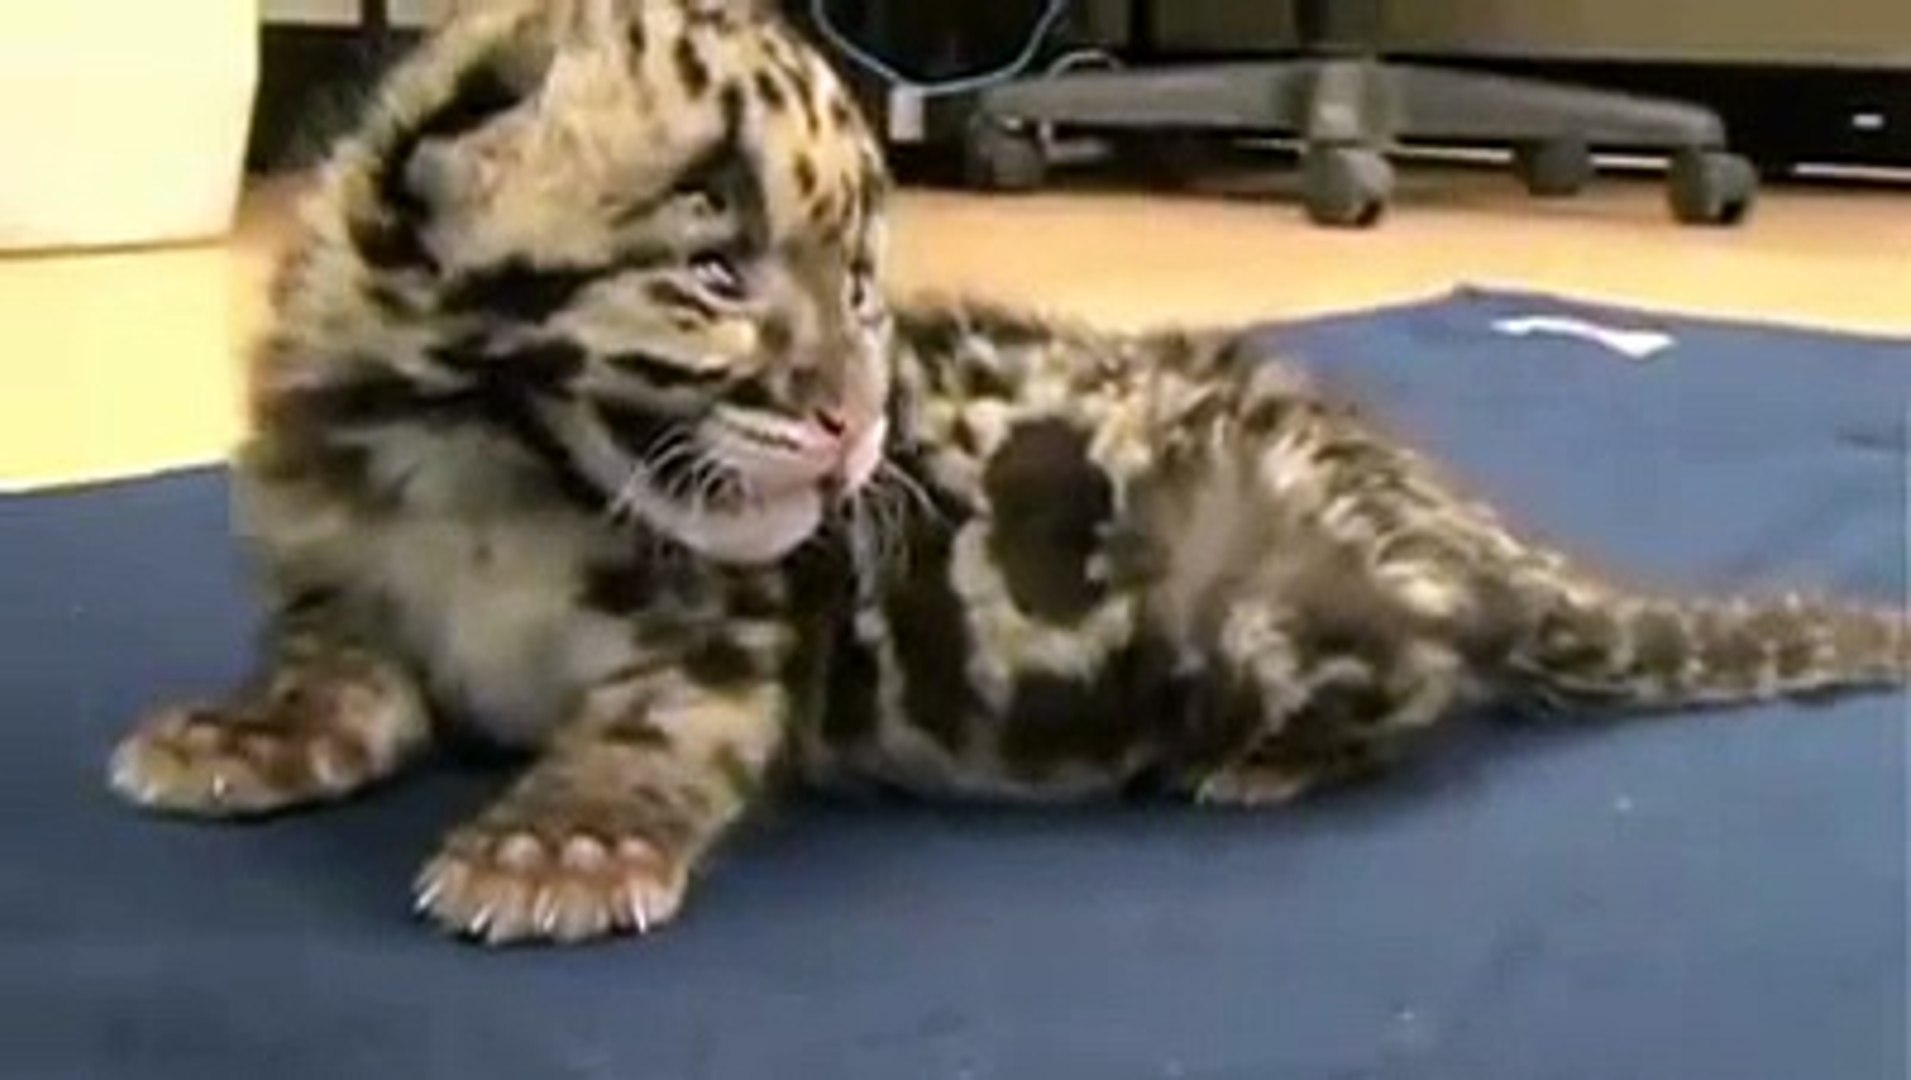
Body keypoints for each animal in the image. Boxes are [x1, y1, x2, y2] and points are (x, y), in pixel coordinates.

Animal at [107, 0, 1908, 947]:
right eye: (715, 274)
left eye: (860, 289)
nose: (853, 425)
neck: (476, 463)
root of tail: (1454, 518)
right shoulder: (339, 574)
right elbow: (334, 668)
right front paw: (244, 731)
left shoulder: (731, 634)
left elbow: (655, 722)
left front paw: (561, 839)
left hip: (1255, 602)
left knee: (1420, 685)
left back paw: (1257, 767)